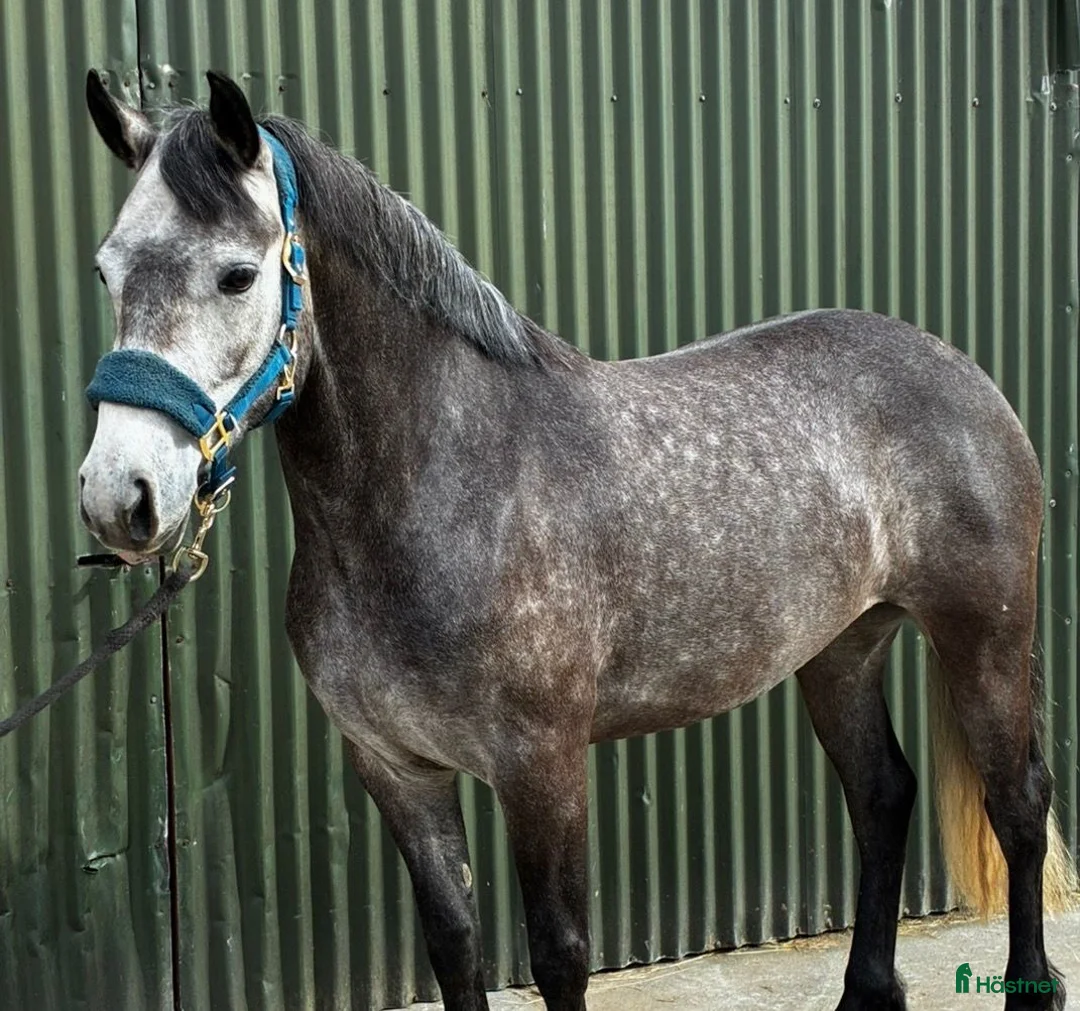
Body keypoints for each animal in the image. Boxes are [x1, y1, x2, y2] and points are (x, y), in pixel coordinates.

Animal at [78, 70, 1074, 1011]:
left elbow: (559, 955)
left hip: (985, 634)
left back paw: (1032, 979)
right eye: (106, 272)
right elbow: (454, 945)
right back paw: (867, 989)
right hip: (840, 649)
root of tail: (960, 371)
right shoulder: (397, 768)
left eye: (236, 276)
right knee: (881, 795)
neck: (452, 484)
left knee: (1019, 804)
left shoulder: (542, 765)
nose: (117, 497)